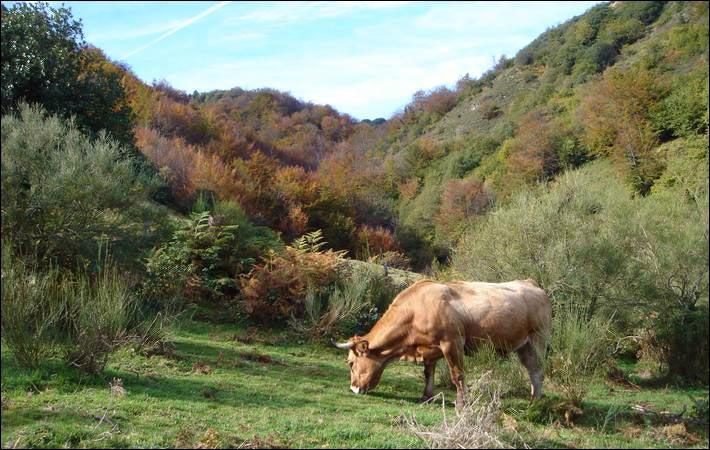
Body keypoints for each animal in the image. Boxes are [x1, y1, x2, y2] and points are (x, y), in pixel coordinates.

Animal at [332, 278, 552, 408]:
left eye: (350, 363)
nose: (353, 389)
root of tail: (530, 283)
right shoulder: (429, 348)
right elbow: (428, 372)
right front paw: (426, 396)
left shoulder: (452, 342)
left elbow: (457, 375)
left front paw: (462, 403)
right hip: (523, 346)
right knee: (532, 371)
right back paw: (533, 400)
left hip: (538, 340)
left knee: (538, 371)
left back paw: (536, 403)